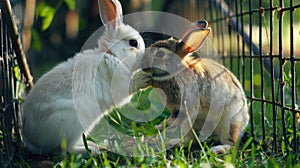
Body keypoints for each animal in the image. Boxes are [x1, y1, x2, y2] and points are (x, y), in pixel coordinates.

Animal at [22, 0, 146, 155]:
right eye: (133, 43)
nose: (145, 58)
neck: (112, 54)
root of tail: (30, 141)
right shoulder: (120, 84)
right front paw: (145, 79)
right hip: (73, 121)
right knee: (64, 149)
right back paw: (92, 149)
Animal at [140, 21, 248, 154]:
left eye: (160, 54)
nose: (141, 64)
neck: (176, 72)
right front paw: (160, 127)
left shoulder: (185, 108)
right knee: (191, 139)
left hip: (229, 122)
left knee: (232, 143)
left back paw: (217, 149)